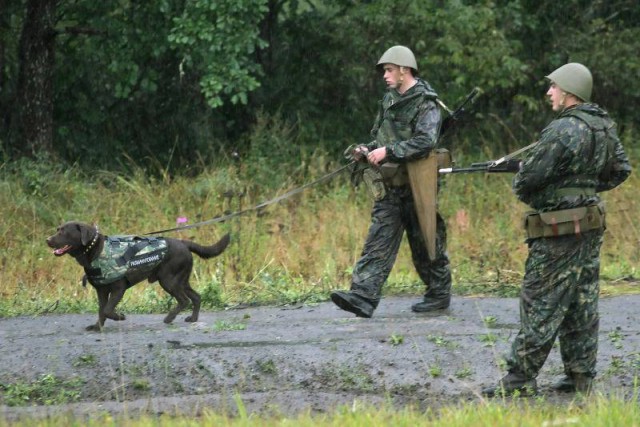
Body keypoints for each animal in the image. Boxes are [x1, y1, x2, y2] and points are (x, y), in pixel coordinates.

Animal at [48, 222, 232, 332]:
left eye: (63, 232)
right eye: (57, 229)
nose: (47, 240)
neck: (95, 251)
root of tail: (184, 243)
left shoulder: (119, 288)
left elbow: (107, 309)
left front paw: (120, 317)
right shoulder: (101, 290)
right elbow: (101, 310)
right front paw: (97, 327)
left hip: (169, 280)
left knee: (184, 300)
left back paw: (169, 318)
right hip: (181, 280)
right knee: (196, 297)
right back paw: (193, 318)